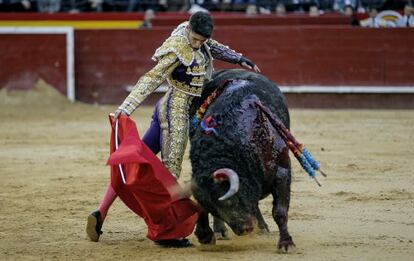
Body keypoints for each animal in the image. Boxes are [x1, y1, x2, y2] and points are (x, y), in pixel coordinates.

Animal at [188, 68, 324, 250]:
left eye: (230, 200)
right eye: (213, 208)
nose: (244, 228)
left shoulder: (282, 172)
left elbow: (279, 211)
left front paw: (286, 243)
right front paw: (204, 235)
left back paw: (262, 227)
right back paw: (222, 230)